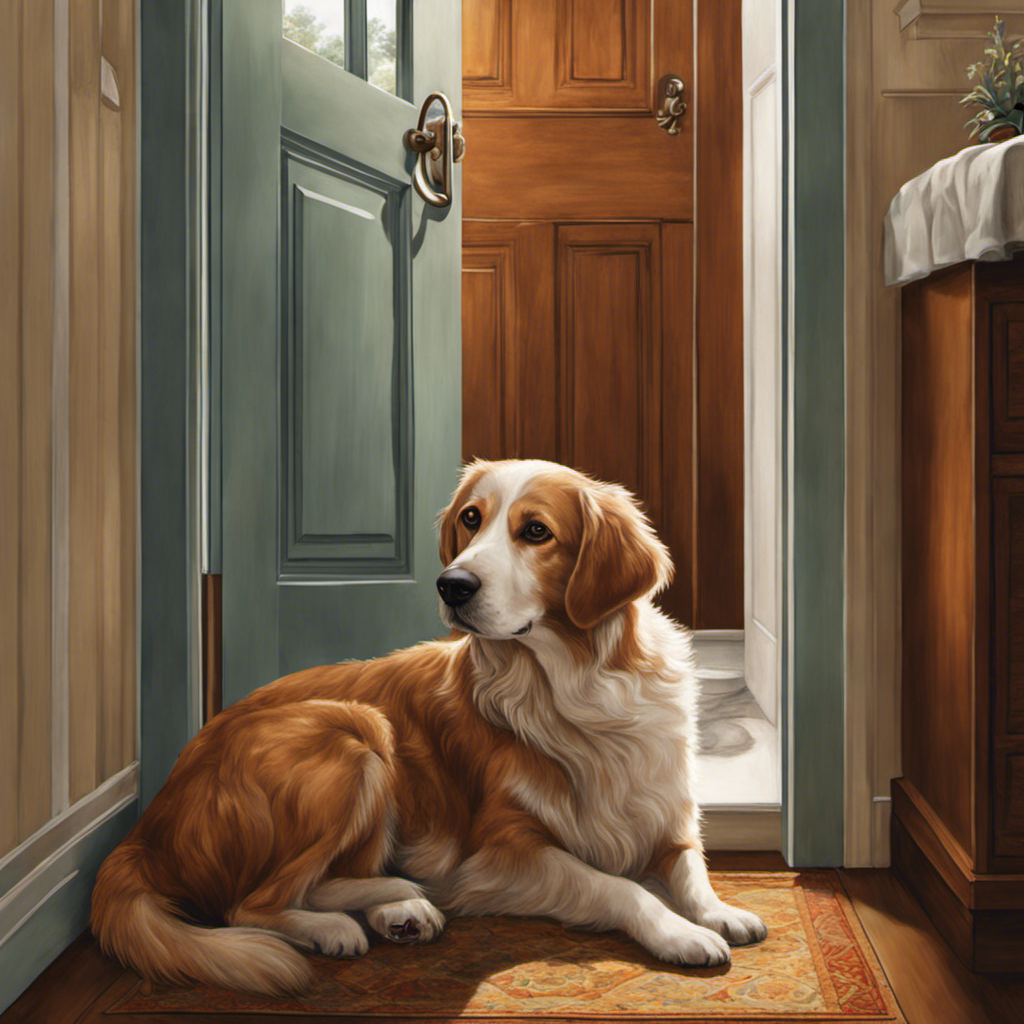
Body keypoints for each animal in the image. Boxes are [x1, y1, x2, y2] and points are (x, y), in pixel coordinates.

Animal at [92, 460, 770, 995]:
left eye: (536, 531)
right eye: (471, 518)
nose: (452, 584)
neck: (577, 687)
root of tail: (146, 826)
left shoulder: (668, 820)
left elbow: (692, 868)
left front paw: (720, 912)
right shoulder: (502, 852)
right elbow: (619, 888)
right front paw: (680, 933)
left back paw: (401, 907)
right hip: (358, 734)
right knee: (250, 903)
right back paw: (359, 916)